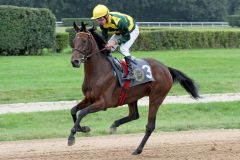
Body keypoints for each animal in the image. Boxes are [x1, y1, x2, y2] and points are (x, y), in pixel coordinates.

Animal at [68, 21, 200, 154]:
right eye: (73, 41)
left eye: (84, 41)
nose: (75, 61)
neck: (98, 72)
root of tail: (166, 68)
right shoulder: (89, 99)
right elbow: (74, 110)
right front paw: (83, 128)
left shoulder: (104, 103)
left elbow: (82, 112)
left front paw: (72, 136)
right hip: (131, 96)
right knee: (134, 115)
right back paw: (114, 125)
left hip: (156, 97)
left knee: (150, 126)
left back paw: (138, 149)